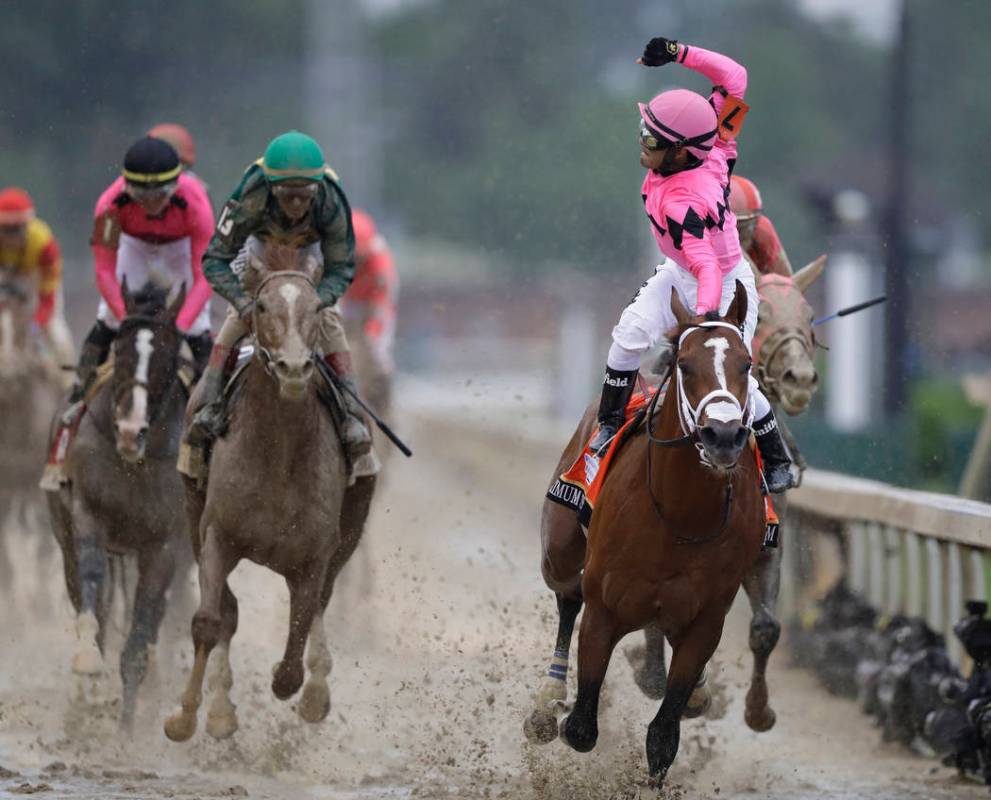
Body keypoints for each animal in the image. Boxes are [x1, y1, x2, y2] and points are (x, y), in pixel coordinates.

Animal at [45, 278, 192, 728]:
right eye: (122, 350)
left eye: (166, 357)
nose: (129, 431)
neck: (135, 463)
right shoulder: (88, 515)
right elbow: (93, 590)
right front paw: (88, 662)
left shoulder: (165, 544)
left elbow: (142, 631)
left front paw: (128, 729)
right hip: (67, 535)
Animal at [167, 247, 376, 740]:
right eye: (261, 307)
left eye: (316, 307)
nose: (295, 368)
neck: (278, 456)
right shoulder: (216, 535)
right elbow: (210, 620)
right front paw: (187, 715)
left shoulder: (315, 556)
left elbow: (293, 658)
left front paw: (308, 691)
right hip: (192, 513)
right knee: (227, 612)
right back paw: (221, 709)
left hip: (350, 531)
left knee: (320, 606)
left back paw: (315, 689)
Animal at [528, 282, 768, 780]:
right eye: (686, 365)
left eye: (747, 365)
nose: (722, 437)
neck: (681, 515)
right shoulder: (605, 608)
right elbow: (581, 728)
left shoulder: (704, 620)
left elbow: (663, 736)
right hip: (559, 549)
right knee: (567, 596)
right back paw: (548, 698)